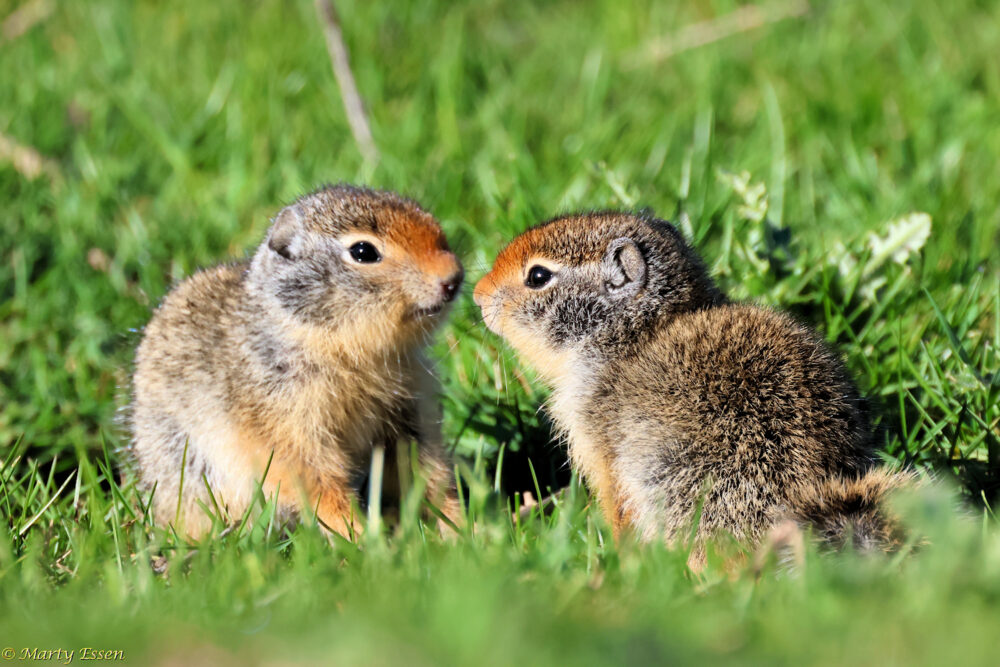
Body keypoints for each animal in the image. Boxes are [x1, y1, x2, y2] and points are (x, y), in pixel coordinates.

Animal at [129, 184, 464, 537]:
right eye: (363, 252)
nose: (454, 279)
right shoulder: (286, 423)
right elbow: (316, 482)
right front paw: (360, 536)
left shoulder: (409, 414)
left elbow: (422, 471)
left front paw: (459, 527)